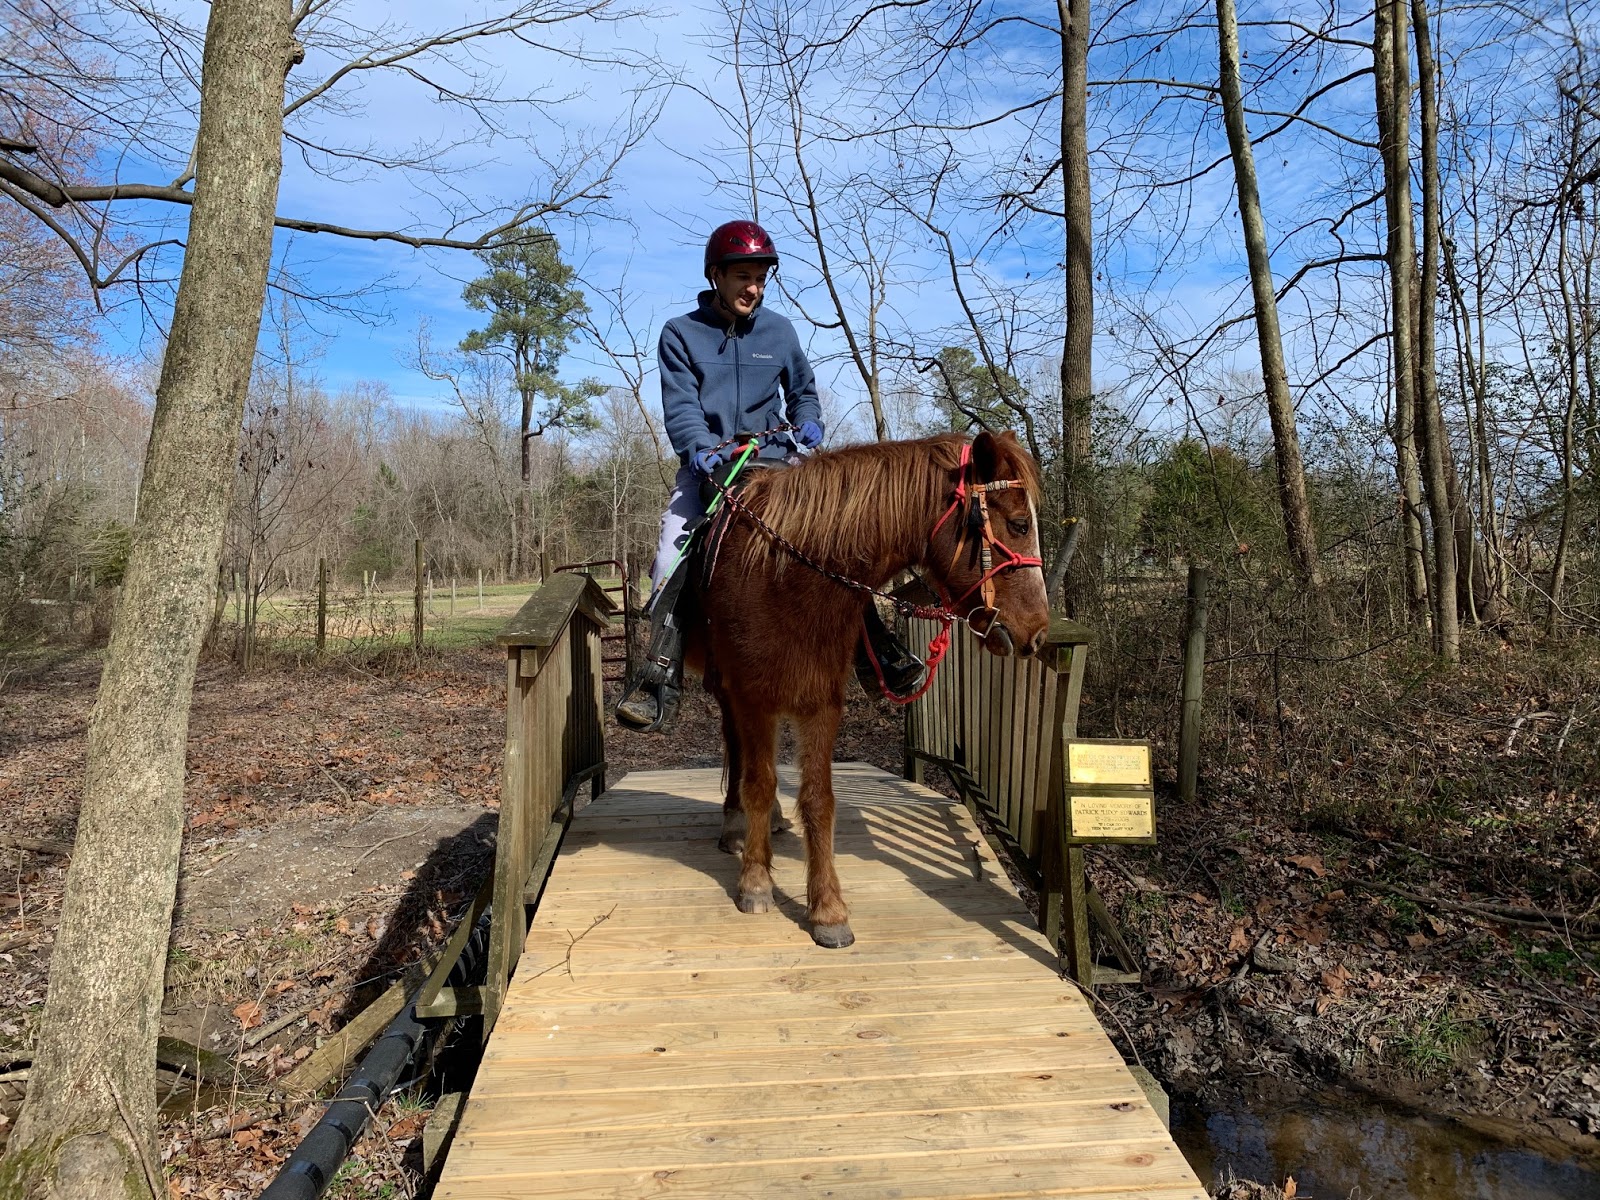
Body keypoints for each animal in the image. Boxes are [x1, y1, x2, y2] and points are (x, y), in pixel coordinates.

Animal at [678, 429, 1053, 949]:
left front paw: (827, 910)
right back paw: (737, 825)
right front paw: (755, 882)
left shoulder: (821, 702)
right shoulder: (753, 697)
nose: (1037, 633)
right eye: (1018, 524)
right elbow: (758, 782)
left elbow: (819, 800)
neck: (784, 577)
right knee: (738, 754)